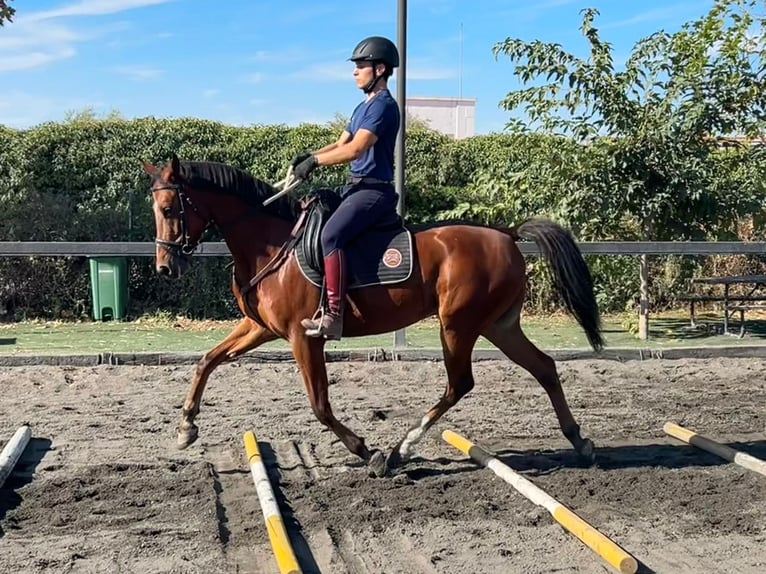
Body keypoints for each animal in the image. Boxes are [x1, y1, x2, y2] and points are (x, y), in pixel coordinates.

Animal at [142, 154, 604, 477]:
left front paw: (368, 451)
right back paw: (579, 440)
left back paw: (402, 448)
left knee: (460, 383)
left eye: (169, 209)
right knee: (543, 367)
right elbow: (207, 361)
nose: (164, 267)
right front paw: (186, 427)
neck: (273, 244)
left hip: (458, 326)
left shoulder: (303, 337)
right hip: (497, 325)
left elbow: (320, 404)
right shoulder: (261, 328)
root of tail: (506, 235)